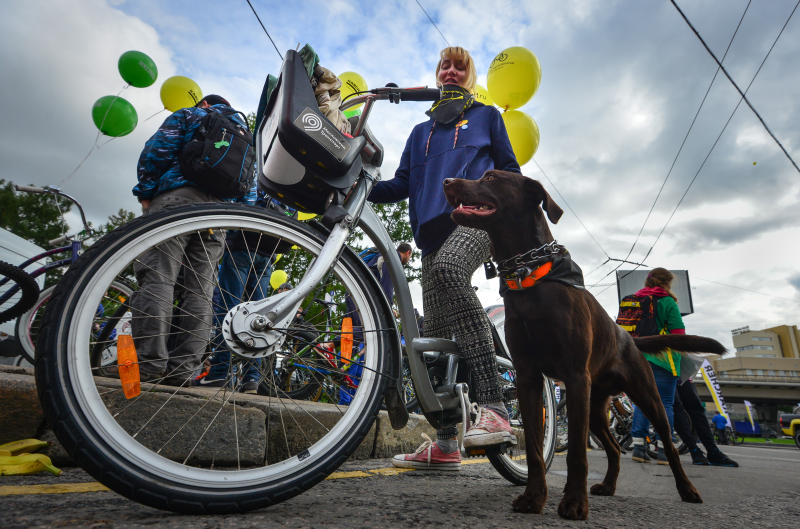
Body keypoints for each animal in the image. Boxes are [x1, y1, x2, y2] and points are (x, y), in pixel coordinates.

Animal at [444, 170, 724, 520]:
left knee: (670, 444)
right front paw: (534, 498)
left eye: (491, 177)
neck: (531, 277)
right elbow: (534, 449)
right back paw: (608, 486)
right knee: (615, 447)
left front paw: (575, 503)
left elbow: (577, 450)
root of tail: (628, 338)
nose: (447, 181)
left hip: (646, 396)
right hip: (594, 405)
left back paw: (687, 489)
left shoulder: (576, 376)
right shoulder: (528, 379)